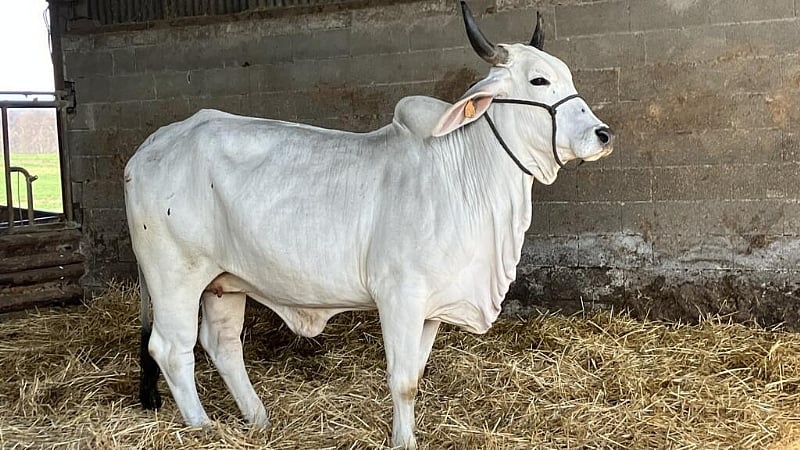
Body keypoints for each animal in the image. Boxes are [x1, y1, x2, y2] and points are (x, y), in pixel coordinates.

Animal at [124, 2, 614, 448]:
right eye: (538, 80)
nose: (603, 135)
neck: (462, 174)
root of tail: (151, 145)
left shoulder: (431, 309)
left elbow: (416, 373)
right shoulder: (399, 296)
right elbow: (403, 381)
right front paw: (404, 442)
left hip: (225, 282)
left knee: (222, 345)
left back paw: (259, 420)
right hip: (175, 276)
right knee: (171, 349)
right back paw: (203, 428)